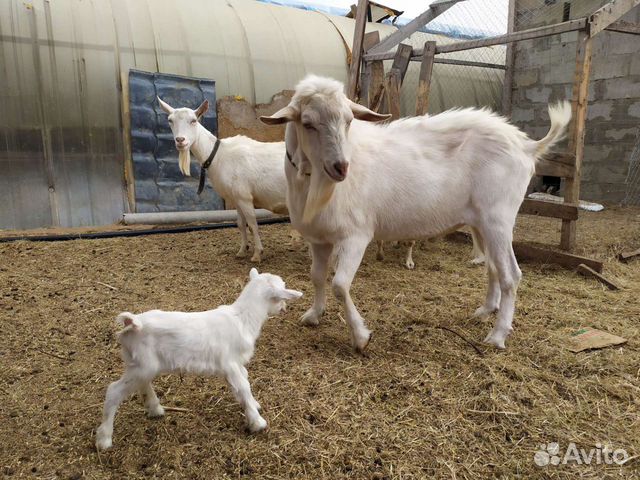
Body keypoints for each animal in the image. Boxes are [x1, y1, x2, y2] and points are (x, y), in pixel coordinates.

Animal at [95, 266, 302, 450]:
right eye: (281, 294)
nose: (284, 308)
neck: (243, 319)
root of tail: (132, 324)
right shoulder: (230, 363)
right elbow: (244, 386)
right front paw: (257, 422)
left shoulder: (236, 365)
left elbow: (243, 382)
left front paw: (253, 406)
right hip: (143, 365)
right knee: (113, 391)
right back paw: (104, 439)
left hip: (142, 364)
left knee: (142, 383)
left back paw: (155, 409)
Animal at [159, 97, 288, 262]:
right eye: (170, 120)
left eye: (193, 120)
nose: (180, 140)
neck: (218, 154)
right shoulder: (236, 198)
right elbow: (240, 224)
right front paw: (242, 251)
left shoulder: (244, 196)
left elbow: (253, 224)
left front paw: (257, 254)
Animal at [260, 75, 568, 352]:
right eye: (308, 123)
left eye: (349, 121)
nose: (341, 167)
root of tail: (526, 146)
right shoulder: (319, 238)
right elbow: (316, 275)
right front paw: (314, 315)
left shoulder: (355, 235)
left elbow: (339, 284)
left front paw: (360, 336)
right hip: (482, 222)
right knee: (493, 266)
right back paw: (485, 311)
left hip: (499, 217)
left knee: (511, 276)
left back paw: (498, 335)